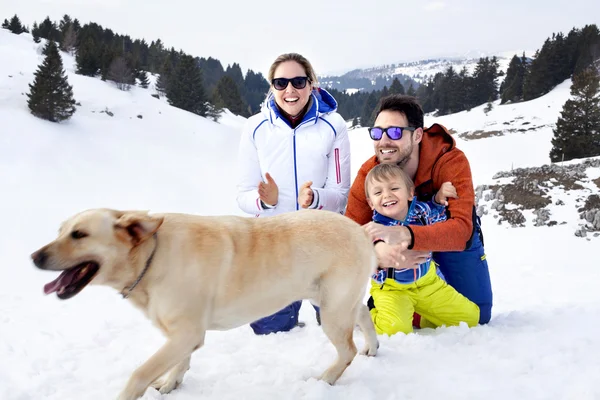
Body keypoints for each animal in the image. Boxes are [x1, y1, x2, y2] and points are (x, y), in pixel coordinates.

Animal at [30, 208, 378, 398]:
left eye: (79, 234)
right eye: (61, 230)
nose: (34, 257)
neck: (152, 257)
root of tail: (360, 231)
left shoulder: (186, 332)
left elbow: (139, 374)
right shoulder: (183, 334)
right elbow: (179, 363)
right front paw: (171, 384)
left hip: (331, 311)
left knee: (346, 350)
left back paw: (326, 378)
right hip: (330, 300)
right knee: (362, 312)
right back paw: (372, 346)